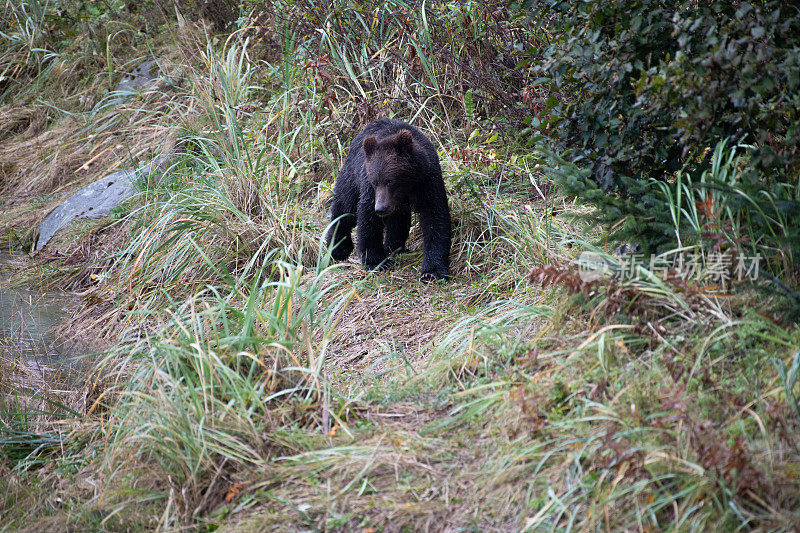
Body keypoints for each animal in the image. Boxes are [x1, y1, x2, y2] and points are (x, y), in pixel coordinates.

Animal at [324, 119, 450, 280]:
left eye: (390, 181)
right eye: (374, 182)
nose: (381, 208)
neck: (407, 187)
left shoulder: (427, 181)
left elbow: (435, 218)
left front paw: (432, 271)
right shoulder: (369, 189)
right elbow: (368, 220)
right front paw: (377, 262)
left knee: (398, 220)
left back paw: (393, 247)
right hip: (351, 175)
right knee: (345, 207)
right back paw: (338, 248)